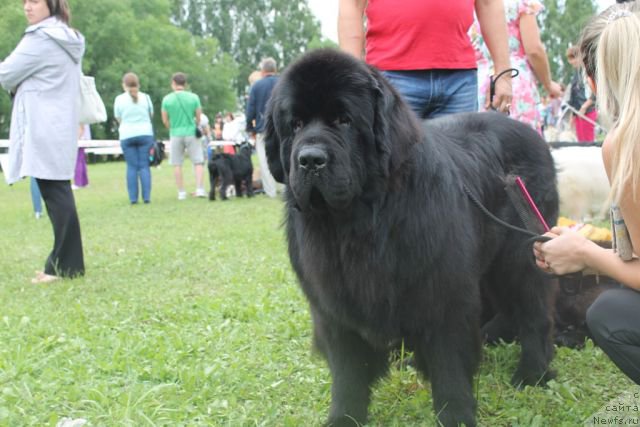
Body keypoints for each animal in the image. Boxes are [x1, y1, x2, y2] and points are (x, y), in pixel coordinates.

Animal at [262, 51, 556, 427]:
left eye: (344, 120)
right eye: (295, 125)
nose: (310, 159)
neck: (360, 223)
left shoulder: (443, 291)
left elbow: (449, 365)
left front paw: (456, 415)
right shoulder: (334, 304)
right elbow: (348, 373)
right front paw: (344, 417)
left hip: (522, 252)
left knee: (534, 311)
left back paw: (532, 373)